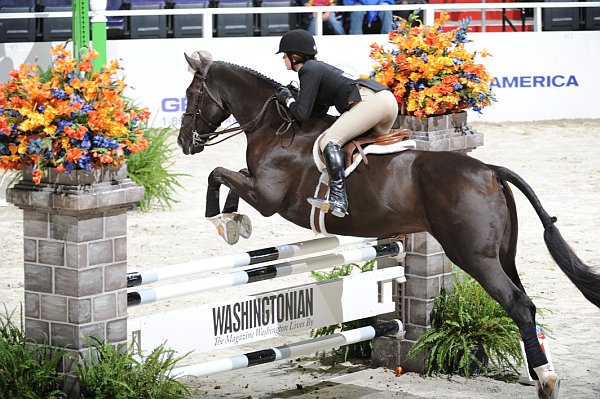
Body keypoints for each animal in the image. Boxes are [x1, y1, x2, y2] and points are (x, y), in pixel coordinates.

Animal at [178, 53, 600, 399]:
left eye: (191, 94)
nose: (184, 142)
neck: (272, 124)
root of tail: (490, 171)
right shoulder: (260, 188)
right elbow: (228, 174)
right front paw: (234, 220)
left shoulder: (267, 197)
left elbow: (219, 174)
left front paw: (225, 221)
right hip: (502, 255)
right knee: (525, 301)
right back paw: (539, 372)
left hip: (473, 256)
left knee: (518, 304)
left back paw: (546, 381)